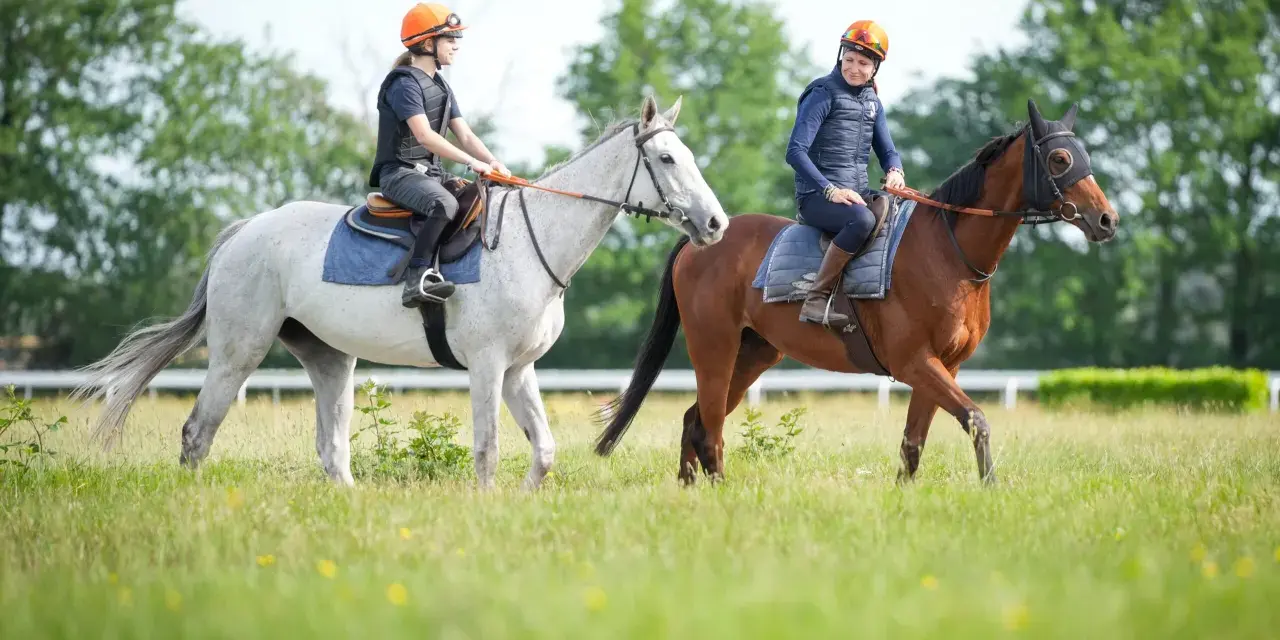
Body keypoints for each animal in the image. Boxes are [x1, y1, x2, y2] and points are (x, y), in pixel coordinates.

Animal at [72, 95, 729, 490]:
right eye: (666, 158)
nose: (716, 223)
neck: (531, 239)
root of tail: (244, 232)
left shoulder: (518, 370)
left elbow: (542, 449)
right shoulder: (487, 366)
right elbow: (488, 448)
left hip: (330, 359)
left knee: (331, 448)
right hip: (239, 352)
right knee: (198, 432)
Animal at [594, 100, 1119, 485]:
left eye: (1085, 156)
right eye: (1060, 159)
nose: (1107, 219)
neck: (948, 252)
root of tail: (701, 238)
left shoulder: (944, 366)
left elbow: (913, 443)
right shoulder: (915, 362)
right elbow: (976, 419)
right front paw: (990, 487)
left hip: (754, 353)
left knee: (695, 420)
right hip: (714, 348)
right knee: (711, 429)